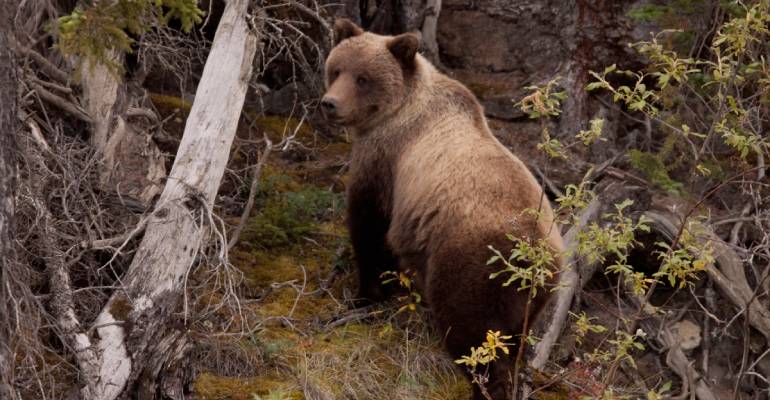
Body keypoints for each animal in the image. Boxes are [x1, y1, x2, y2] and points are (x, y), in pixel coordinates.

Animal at [320, 19, 560, 400]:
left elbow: (370, 226)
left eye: (363, 78)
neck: (399, 109)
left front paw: (365, 295)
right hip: (533, 299)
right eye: (337, 69)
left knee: (472, 335)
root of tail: (536, 255)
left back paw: (482, 386)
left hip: (471, 265)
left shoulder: (384, 157)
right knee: (511, 341)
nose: (330, 103)